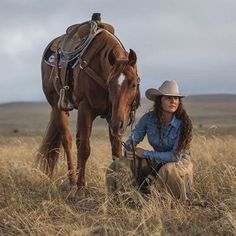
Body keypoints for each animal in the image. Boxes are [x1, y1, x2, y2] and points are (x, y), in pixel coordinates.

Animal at [36, 19, 140, 195]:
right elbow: (85, 149)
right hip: (57, 105)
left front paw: (118, 190)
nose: (117, 124)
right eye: (110, 84)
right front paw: (81, 189)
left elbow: (116, 150)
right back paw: (72, 183)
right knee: (68, 141)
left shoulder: (113, 116)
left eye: (133, 83)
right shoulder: (86, 109)